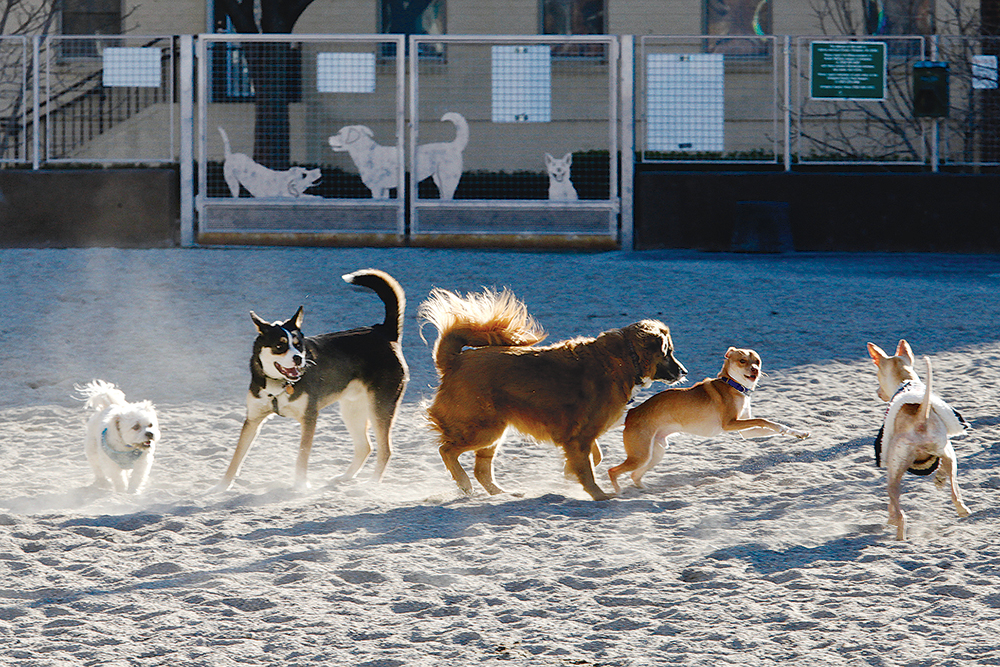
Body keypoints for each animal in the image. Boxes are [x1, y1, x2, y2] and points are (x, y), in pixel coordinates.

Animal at [217, 268, 408, 494]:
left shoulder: (309, 418)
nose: (298, 358)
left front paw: (300, 485)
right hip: (353, 410)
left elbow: (302, 456)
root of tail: (383, 331)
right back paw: (345, 477)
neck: (280, 384)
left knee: (385, 450)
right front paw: (221, 487)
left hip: (379, 408)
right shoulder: (253, 419)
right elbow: (236, 457)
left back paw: (371, 484)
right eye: (280, 346)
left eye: (299, 345)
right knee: (365, 447)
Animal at [416, 288, 688, 500]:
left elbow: (595, 457)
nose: (684, 371)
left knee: (481, 470)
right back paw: (464, 483)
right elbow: (588, 468)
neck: (624, 358)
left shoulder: (581, 435)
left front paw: (569, 473)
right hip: (484, 429)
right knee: (447, 450)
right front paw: (599, 495)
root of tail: (455, 360)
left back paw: (501, 493)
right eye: (668, 352)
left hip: (493, 432)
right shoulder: (579, 437)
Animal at [604, 348, 808, 494]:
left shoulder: (746, 431)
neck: (733, 385)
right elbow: (763, 419)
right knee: (613, 470)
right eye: (742, 361)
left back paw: (645, 489)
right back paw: (618, 492)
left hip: (654, 454)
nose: (755, 370)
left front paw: (797, 433)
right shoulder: (730, 424)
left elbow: (772, 424)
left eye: (757, 361)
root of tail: (631, 414)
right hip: (641, 456)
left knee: (634, 475)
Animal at [868, 342, 968, 540]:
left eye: (877, 376)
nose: (877, 392)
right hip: (948, 452)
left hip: (893, 474)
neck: (906, 382)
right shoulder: (943, 453)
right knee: (955, 492)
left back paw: (898, 533)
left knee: (900, 513)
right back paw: (962, 509)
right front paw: (939, 479)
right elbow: (943, 469)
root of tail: (921, 419)